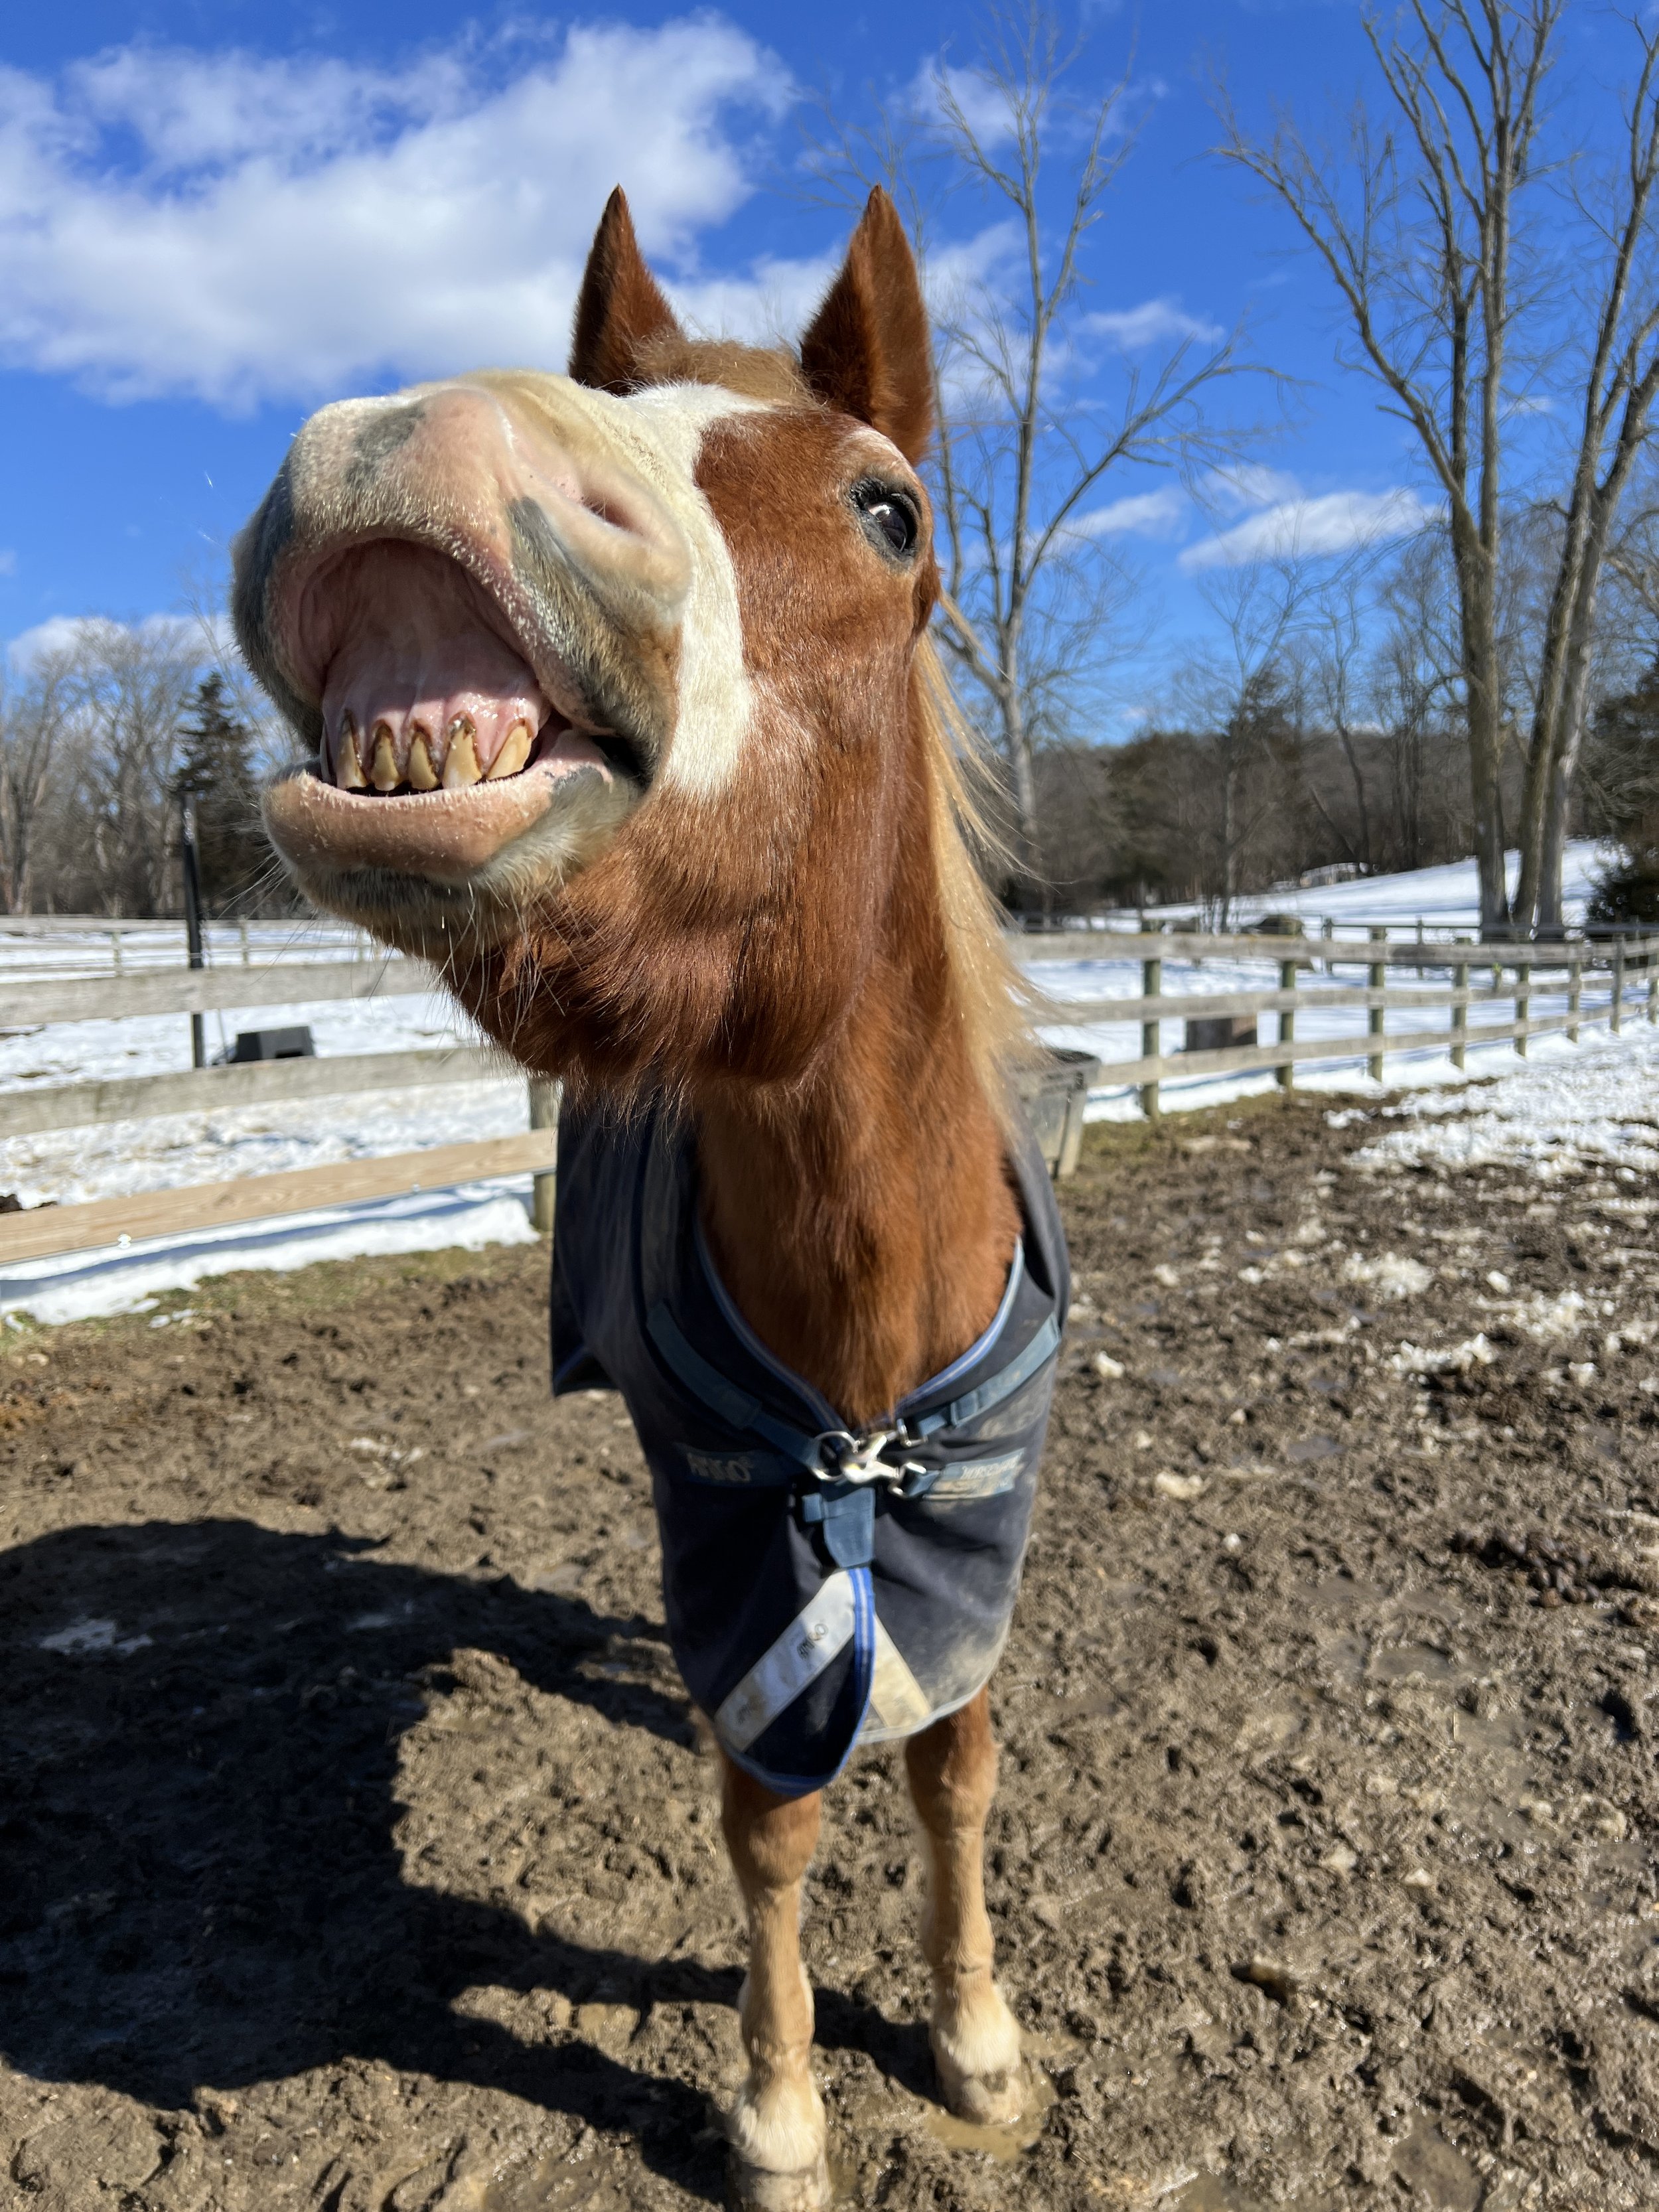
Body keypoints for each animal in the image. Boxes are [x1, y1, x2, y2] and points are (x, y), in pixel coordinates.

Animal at [233, 185, 1069, 2212]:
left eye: (889, 510)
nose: (416, 445)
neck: (870, 1355)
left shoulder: (977, 1535)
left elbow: (958, 1768)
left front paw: (977, 2036)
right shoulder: (739, 1535)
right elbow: (767, 1819)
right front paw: (777, 2106)